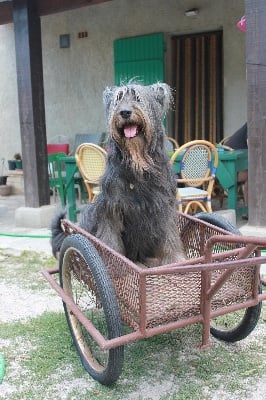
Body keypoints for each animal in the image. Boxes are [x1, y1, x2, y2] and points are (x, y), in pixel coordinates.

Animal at [51, 82, 185, 266]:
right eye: (118, 100)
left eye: (138, 98)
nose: (125, 112)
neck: (137, 165)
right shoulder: (111, 207)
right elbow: (111, 239)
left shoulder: (165, 205)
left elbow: (169, 235)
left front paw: (174, 260)